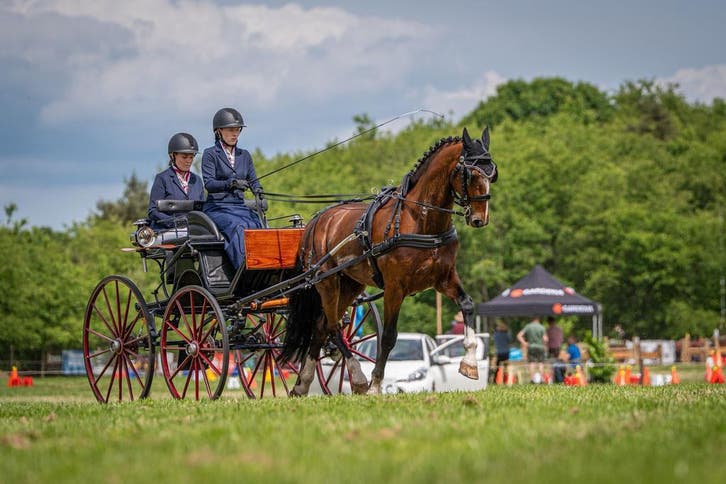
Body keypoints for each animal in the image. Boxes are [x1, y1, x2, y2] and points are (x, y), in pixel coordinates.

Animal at [280, 127, 497, 395]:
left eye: (492, 172)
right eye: (471, 173)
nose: (480, 219)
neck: (420, 220)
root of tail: (316, 221)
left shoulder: (444, 278)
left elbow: (467, 305)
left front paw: (469, 363)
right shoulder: (395, 287)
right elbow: (389, 336)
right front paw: (375, 384)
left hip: (350, 285)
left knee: (321, 326)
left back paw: (302, 384)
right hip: (327, 283)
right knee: (331, 326)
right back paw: (358, 378)